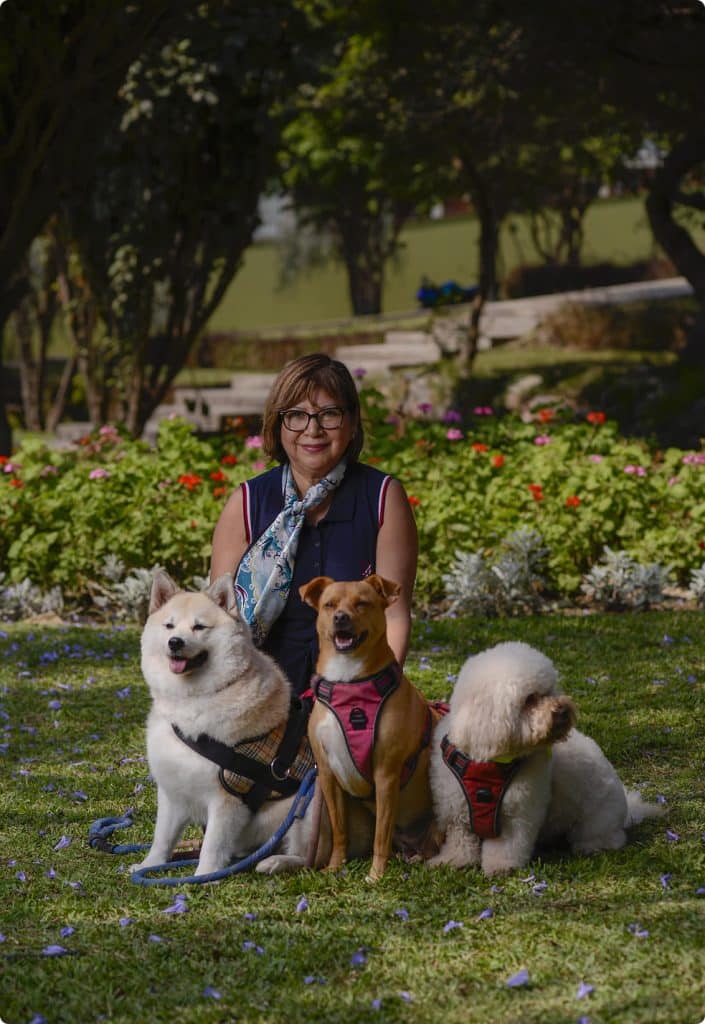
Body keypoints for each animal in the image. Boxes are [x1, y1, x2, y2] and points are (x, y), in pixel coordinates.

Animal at [133, 570, 371, 877]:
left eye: (199, 627)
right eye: (169, 626)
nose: (175, 642)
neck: (192, 699)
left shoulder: (227, 799)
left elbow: (212, 846)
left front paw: (204, 876)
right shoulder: (173, 792)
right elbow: (161, 839)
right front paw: (148, 866)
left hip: (308, 806)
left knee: (309, 858)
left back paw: (276, 862)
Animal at [301, 574, 438, 881]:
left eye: (362, 604)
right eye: (329, 605)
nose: (341, 618)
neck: (348, 684)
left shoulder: (386, 774)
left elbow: (380, 837)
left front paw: (376, 874)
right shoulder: (328, 774)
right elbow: (340, 830)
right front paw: (335, 866)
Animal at [428, 641, 663, 875]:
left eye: (549, 690)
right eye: (530, 699)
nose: (563, 710)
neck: (490, 763)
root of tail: (628, 809)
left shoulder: (518, 814)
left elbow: (506, 847)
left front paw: (501, 867)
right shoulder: (455, 811)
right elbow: (460, 842)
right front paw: (453, 861)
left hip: (596, 822)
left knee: (609, 838)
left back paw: (590, 846)